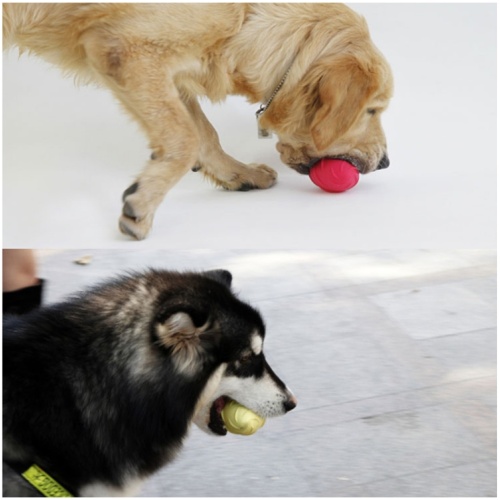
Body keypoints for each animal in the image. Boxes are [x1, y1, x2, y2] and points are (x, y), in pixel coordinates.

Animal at [3, 2, 394, 239]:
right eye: (372, 111)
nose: (386, 163)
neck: (248, 17)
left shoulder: (169, 71)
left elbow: (204, 133)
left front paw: (239, 174)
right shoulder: (128, 49)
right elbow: (186, 139)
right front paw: (142, 203)